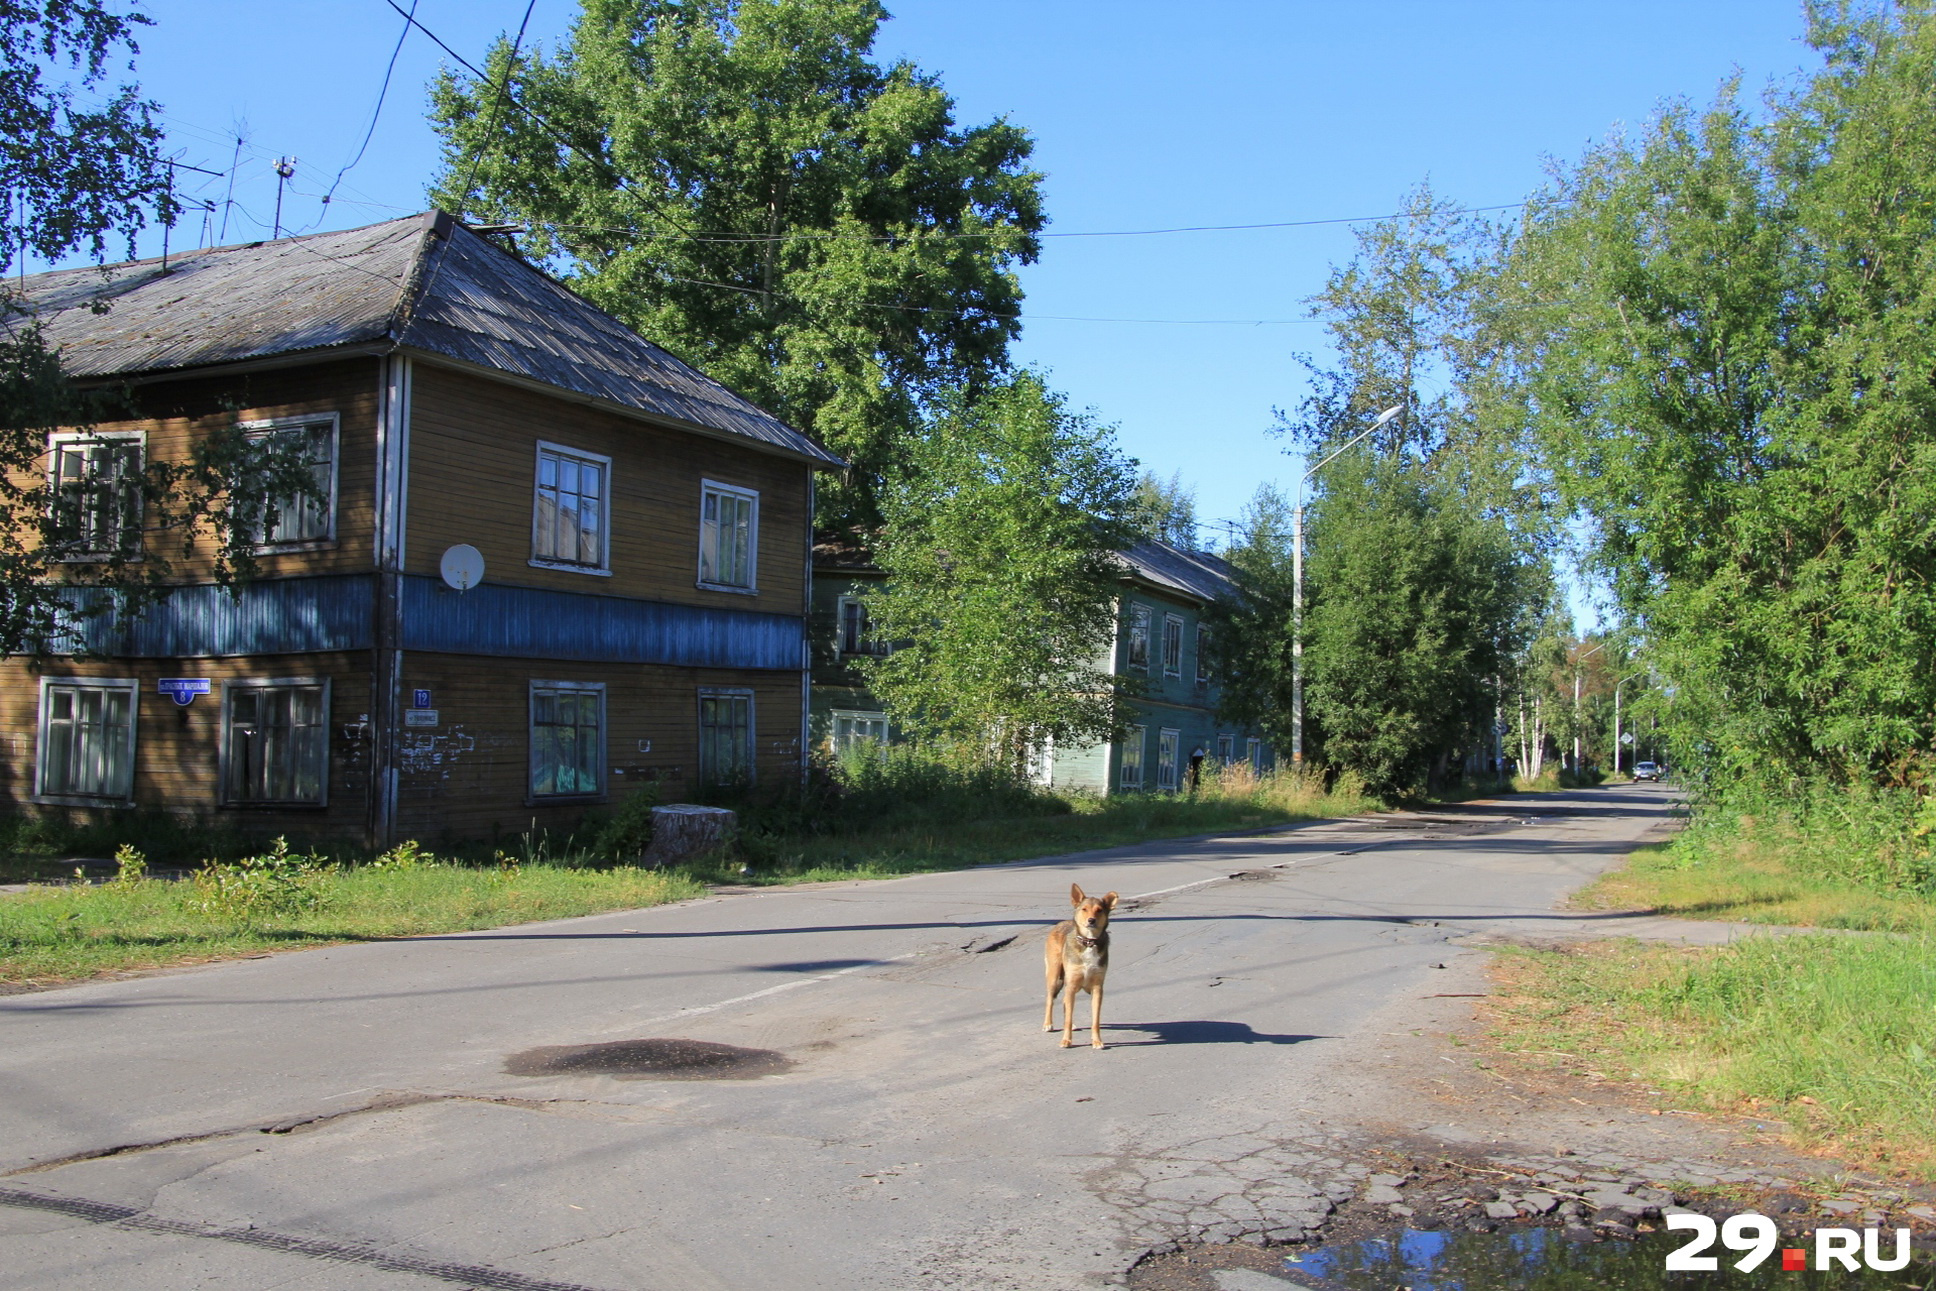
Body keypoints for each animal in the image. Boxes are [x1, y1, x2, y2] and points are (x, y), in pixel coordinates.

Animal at [1045, 882, 1122, 1052]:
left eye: (1099, 910)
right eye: (1084, 909)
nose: (1091, 920)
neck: (1089, 942)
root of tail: (1061, 923)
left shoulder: (1097, 989)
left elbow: (1095, 1020)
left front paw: (1097, 1041)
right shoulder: (1072, 984)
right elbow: (1067, 1018)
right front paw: (1066, 1041)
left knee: (1065, 1003)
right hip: (1055, 977)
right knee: (1050, 1000)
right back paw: (1048, 1024)